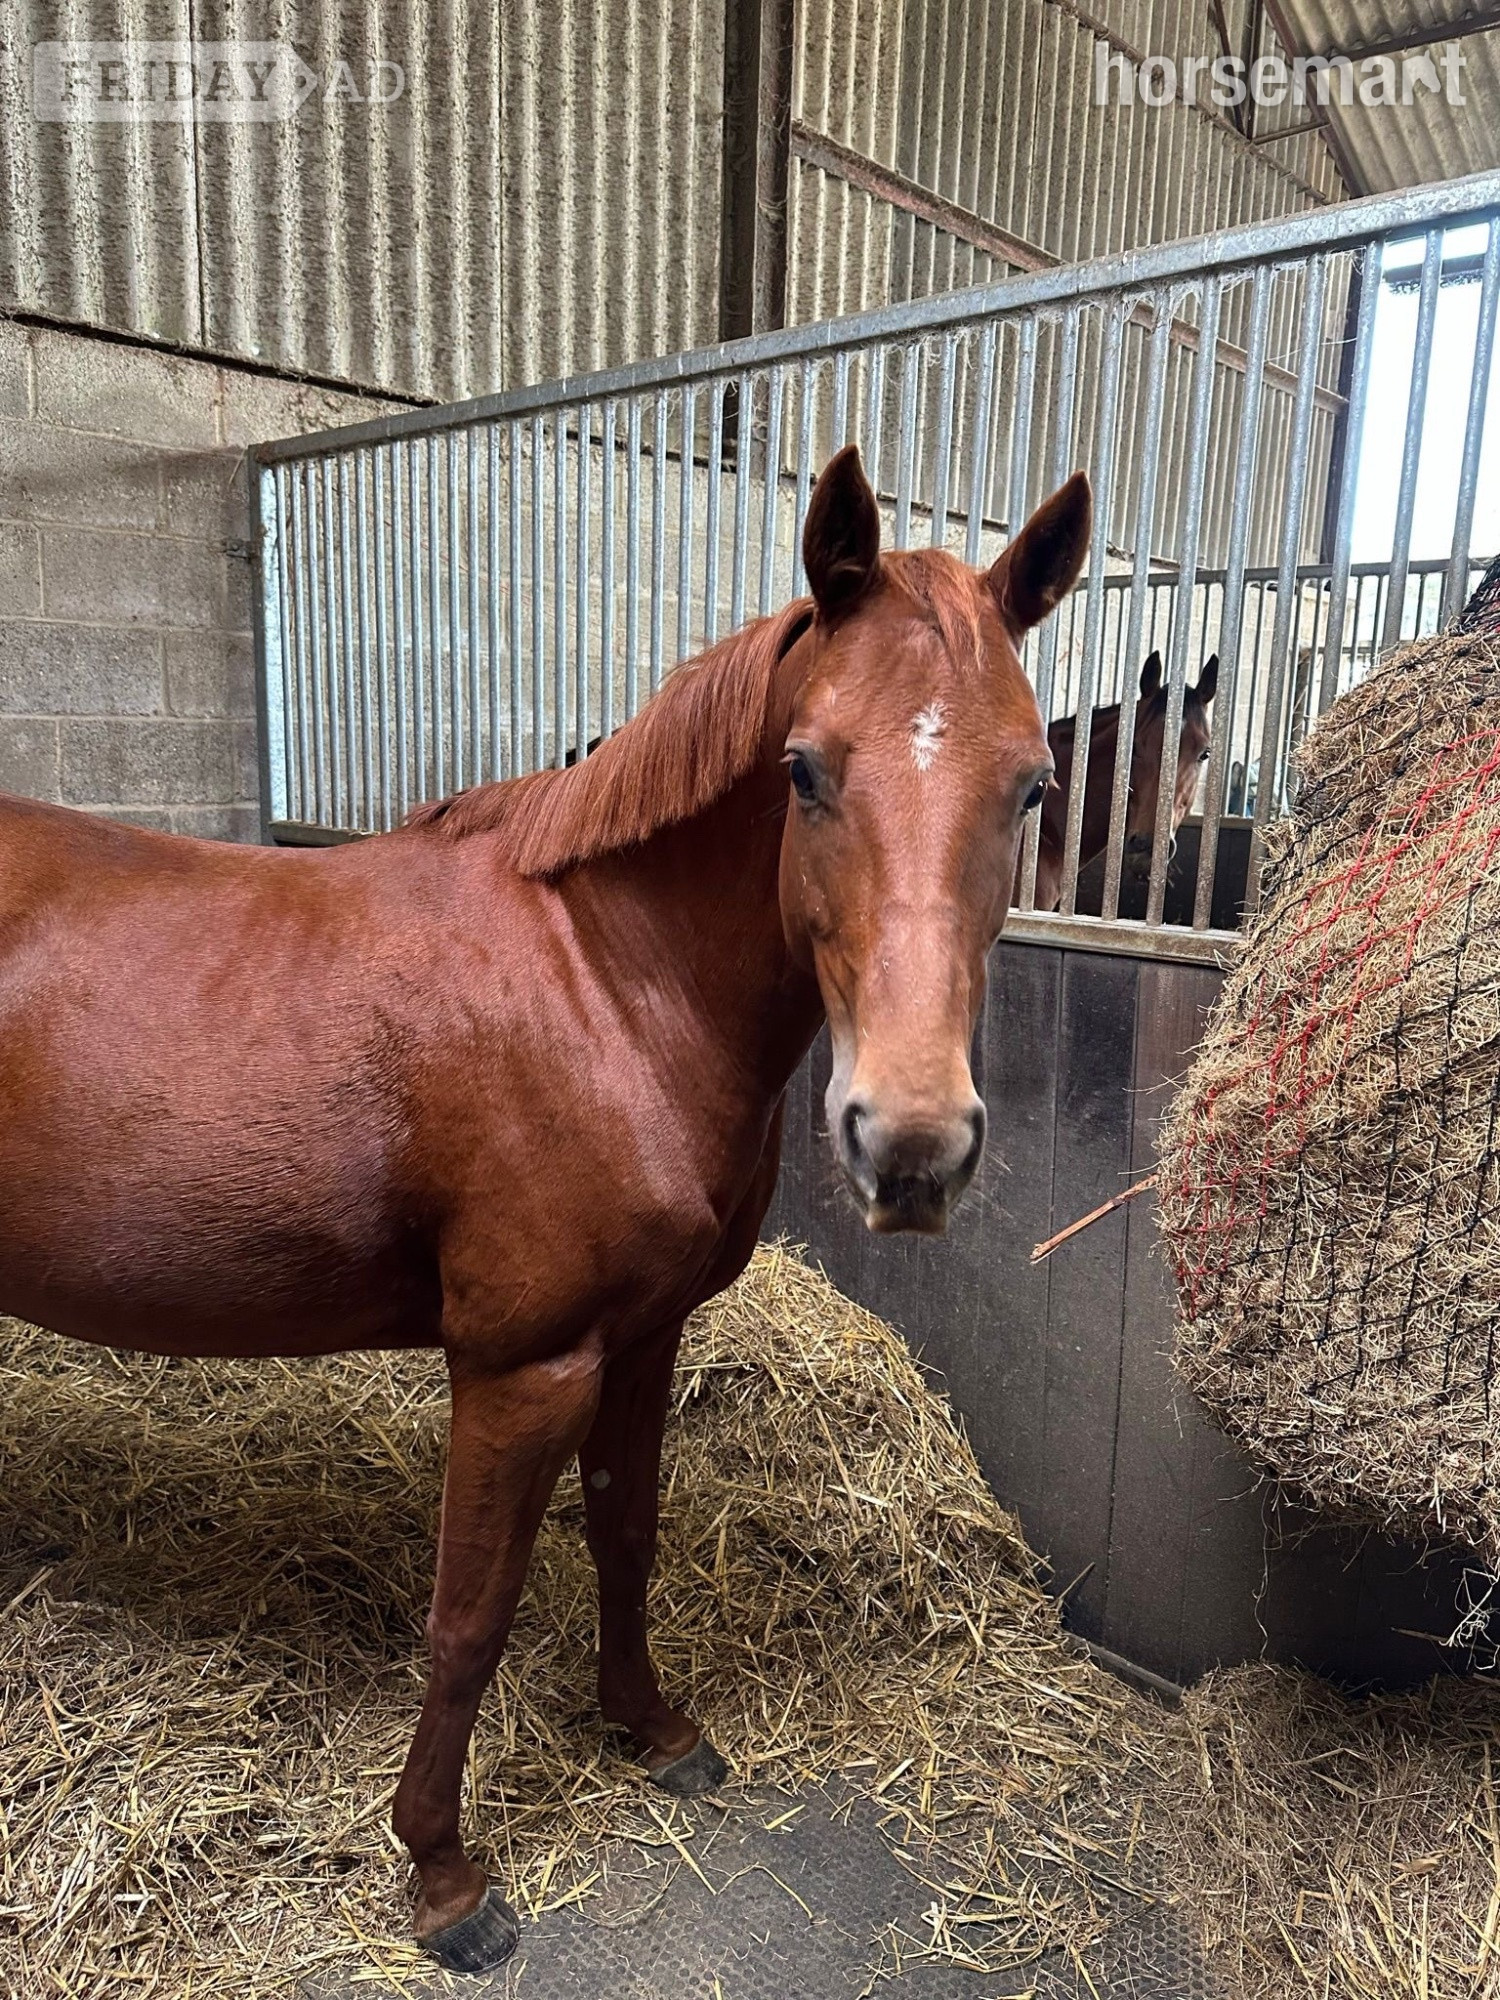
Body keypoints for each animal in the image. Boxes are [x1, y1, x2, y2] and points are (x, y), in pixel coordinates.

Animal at [0, 445, 1089, 1972]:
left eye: (1034, 786)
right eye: (805, 771)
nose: (913, 1148)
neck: (604, 987)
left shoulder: (645, 1335)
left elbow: (627, 1532)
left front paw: (652, 1728)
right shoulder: (521, 1367)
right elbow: (471, 1613)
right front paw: (443, 1876)